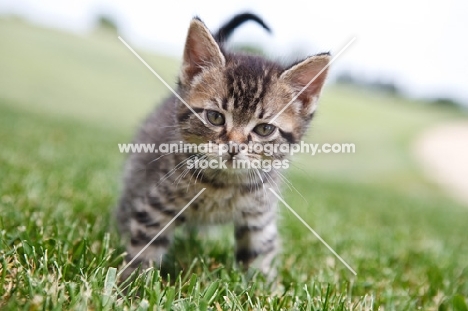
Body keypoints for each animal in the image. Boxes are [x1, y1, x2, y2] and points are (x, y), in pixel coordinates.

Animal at [116, 12, 330, 280]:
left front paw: (266, 288)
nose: (234, 147)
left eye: (264, 129)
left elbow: (260, 260)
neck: (223, 185)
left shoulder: (259, 218)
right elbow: (143, 248)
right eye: (215, 117)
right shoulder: (157, 203)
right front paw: (128, 284)